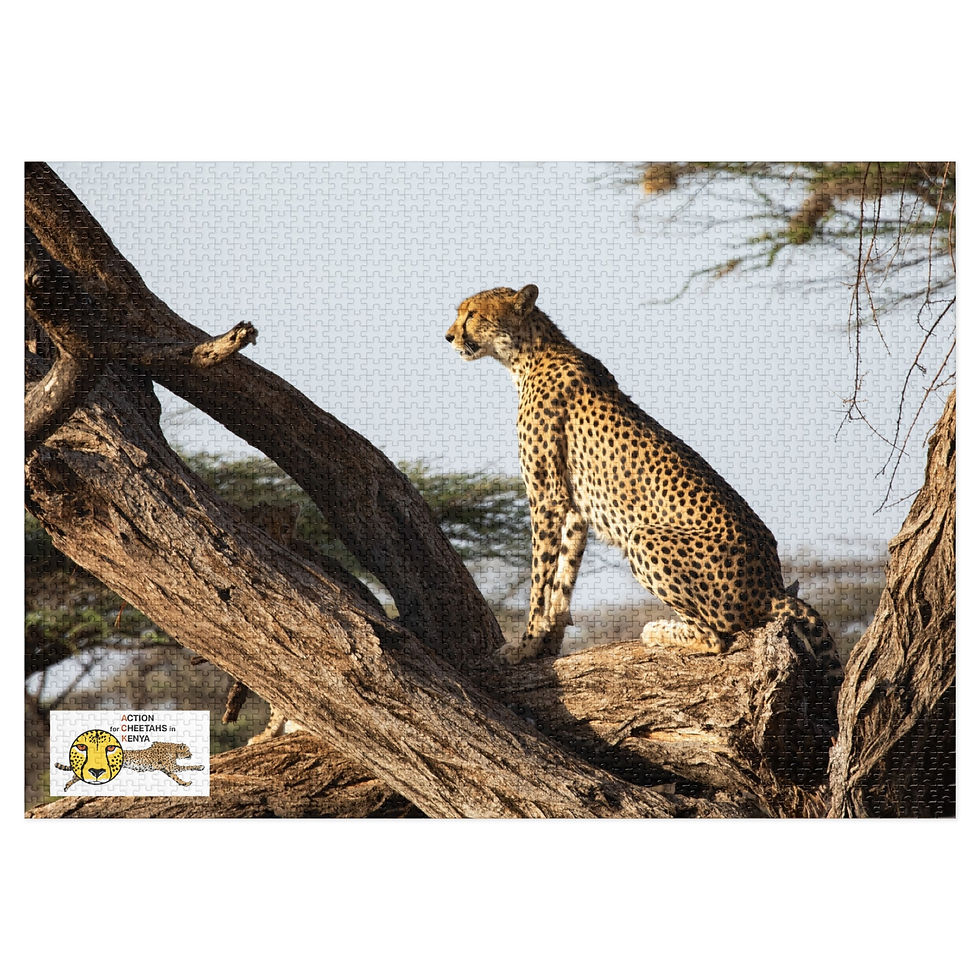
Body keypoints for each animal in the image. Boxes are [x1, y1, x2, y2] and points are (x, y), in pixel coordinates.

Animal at [446, 283, 837, 667]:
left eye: (472, 314)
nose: (448, 336)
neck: (529, 354)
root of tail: (771, 587)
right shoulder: (574, 507)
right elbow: (563, 578)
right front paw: (549, 643)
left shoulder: (546, 497)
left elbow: (540, 578)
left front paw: (524, 645)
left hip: (643, 536)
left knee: (716, 636)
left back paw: (658, 630)